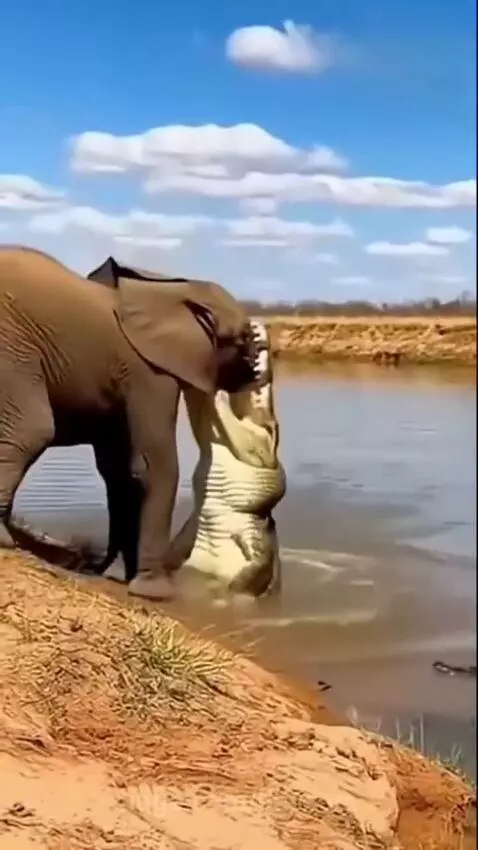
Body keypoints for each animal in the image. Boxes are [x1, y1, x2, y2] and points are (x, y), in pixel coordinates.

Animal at [0, 246, 257, 600]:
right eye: (244, 338)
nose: (257, 372)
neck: (172, 289)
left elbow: (118, 471)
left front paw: (123, 574)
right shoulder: (148, 371)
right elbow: (150, 465)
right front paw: (154, 592)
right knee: (31, 429)